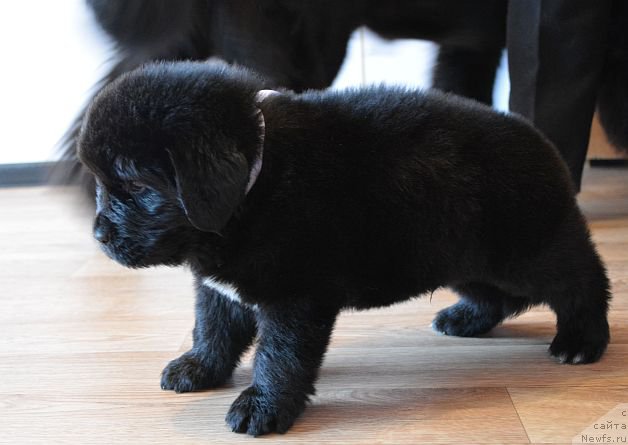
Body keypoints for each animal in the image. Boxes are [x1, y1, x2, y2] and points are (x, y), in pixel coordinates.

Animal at [76, 60, 612, 436]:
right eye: (102, 182)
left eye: (136, 185)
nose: (99, 235)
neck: (256, 184)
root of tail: (540, 141)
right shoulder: (220, 287)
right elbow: (213, 328)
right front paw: (199, 367)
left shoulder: (294, 297)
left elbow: (279, 356)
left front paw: (262, 405)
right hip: (458, 253)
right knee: (499, 296)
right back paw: (465, 319)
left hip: (527, 247)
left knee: (582, 280)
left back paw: (581, 341)